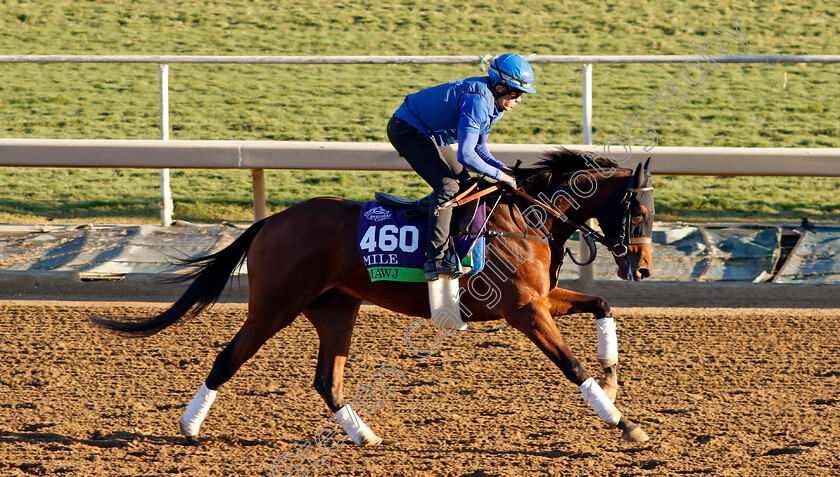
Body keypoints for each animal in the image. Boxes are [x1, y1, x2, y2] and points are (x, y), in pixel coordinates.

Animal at [92, 148, 656, 446]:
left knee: (327, 379)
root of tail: (270, 222)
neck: (527, 217)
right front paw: (624, 423)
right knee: (227, 358)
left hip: (336, 308)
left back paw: (363, 435)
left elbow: (602, 306)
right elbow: (571, 366)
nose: (643, 268)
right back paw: (189, 426)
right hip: (274, 306)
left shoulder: (540, 299)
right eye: (640, 211)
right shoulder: (524, 310)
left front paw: (612, 375)